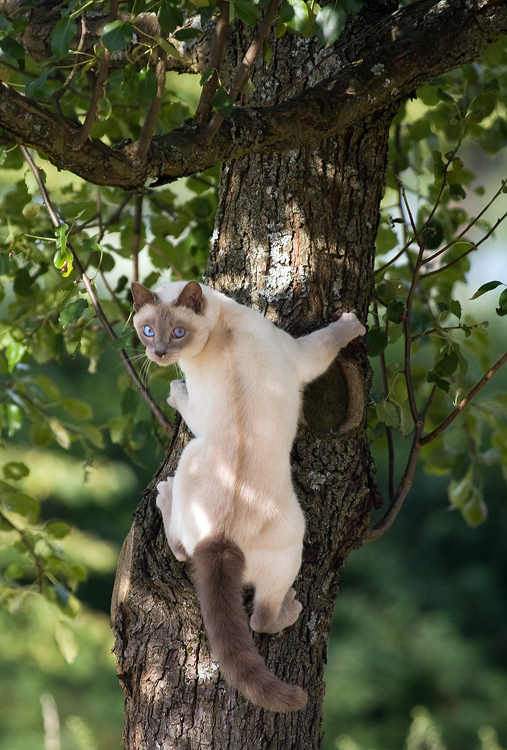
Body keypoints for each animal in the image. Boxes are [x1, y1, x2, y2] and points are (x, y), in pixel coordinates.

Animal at [131, 280, 366, 712]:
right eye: (148, 331)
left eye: (177, 332)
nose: (159, 354)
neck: (219, 331)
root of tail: (219, 539)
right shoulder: (299, 357)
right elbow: (328, 340)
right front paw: (351, 322)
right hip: (288, 543)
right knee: (258, 616)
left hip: (196, 458)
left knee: (186, 552)